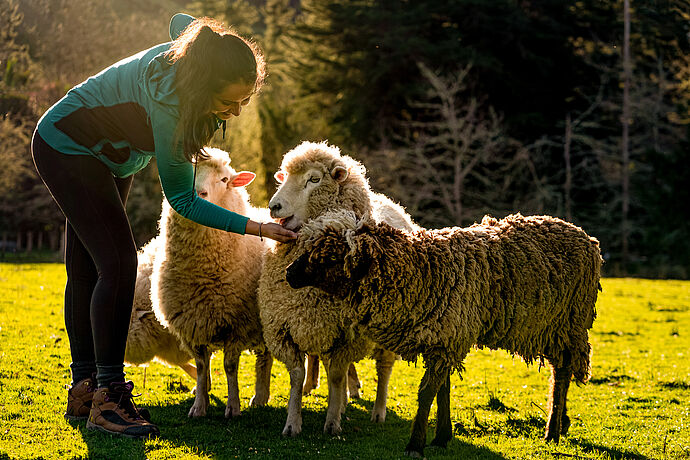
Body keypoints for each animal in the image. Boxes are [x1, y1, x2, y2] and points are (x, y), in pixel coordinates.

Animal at [152, 148, 272, 420]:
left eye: (225, 179)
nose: (199, 194)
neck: (203, 274)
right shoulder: (192, 324)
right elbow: (200, 366)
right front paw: (199, 405)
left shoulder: (237, 325)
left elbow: (229, 367)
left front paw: (233, 407)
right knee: (265, 357)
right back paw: (259, 397)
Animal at [254, 140, 412, 434]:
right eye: (285, 177)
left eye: (314, 179)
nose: (274, 206)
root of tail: (391, 203)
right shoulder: (285, 328)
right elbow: (297, 376)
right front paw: (293, 423)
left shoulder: (347, 336)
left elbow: (336, 376)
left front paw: (332, 422)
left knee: (384, 368)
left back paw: (378, 411)